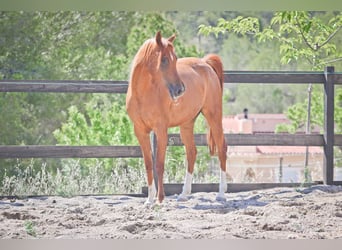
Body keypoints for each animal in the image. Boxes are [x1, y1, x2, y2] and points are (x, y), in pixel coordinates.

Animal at [125, 31, 227, 204]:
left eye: (176, 59)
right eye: (164, 59)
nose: (180, 90)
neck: (143, 94)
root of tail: (205, 63)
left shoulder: (160, 130)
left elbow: (159, 164)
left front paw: (160, 199)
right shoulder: (140, 131)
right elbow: (148, 164)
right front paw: (149, 200)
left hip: (214, 116)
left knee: (222, 148)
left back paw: (221, 194)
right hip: (186, 124)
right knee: (191, 153)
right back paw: (184, 194)